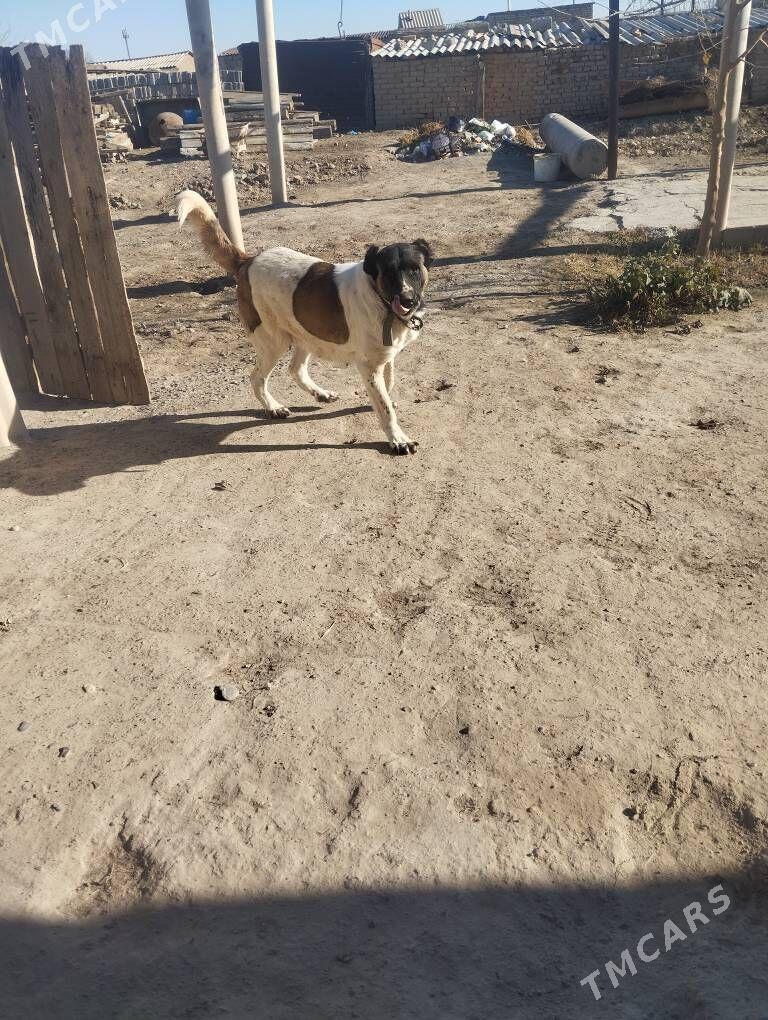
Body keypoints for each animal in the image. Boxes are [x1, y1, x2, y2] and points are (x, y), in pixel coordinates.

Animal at [175, 191, 434, 454]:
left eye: (415, 269)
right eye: (388, 273)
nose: (408, 300)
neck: (379, 298)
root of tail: (247, 260)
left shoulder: (385, 357)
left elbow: (388, 386)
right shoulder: (368, 366)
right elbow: (385, 407)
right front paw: (398, 439)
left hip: (305, 334)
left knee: (295, 368)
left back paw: (320, 394)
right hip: (273, 342)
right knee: (257, 377)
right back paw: (273, 407)